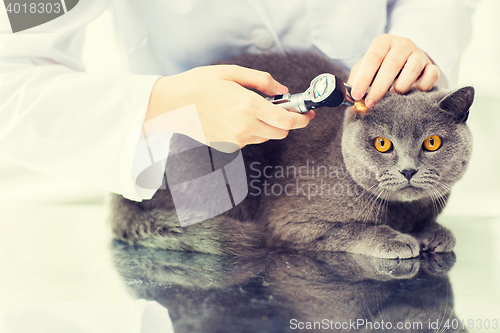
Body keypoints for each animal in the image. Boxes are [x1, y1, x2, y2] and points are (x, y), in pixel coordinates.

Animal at [109, 52, 472, 260]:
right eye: (383, 144)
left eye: (432, 143)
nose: (408, 170)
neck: (400, 212)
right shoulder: (290, 222)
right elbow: (349, 230)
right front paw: (397, 240)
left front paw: (435, 233)